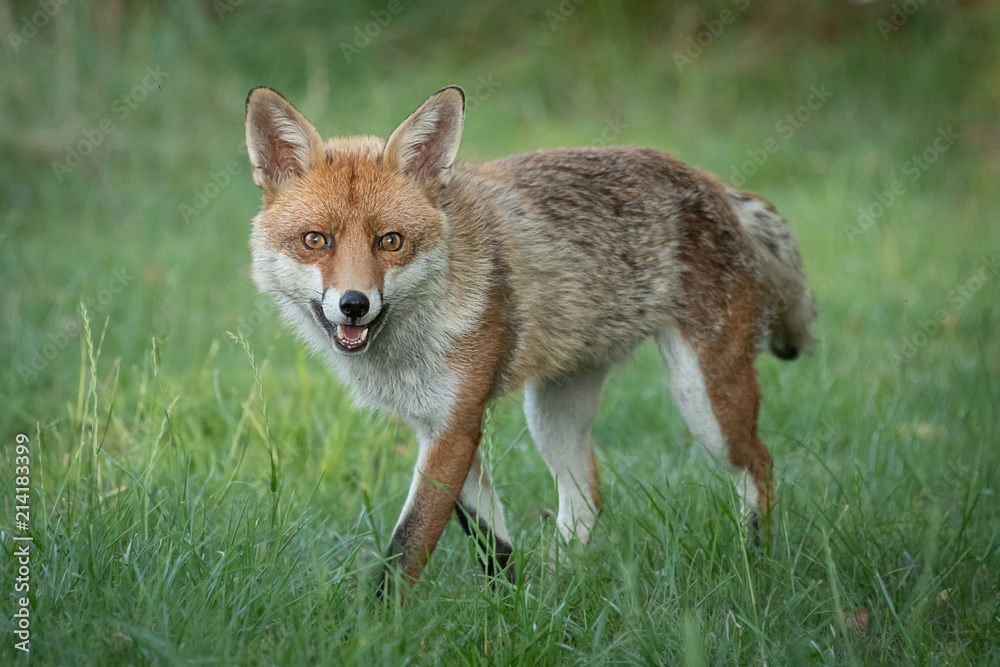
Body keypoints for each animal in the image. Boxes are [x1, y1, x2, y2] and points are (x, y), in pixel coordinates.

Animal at [246, 83, 816, 600]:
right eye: (316, 240)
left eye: (390, 242)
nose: (354, 304)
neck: (410, 343)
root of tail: (714, 182)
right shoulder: (440, 426)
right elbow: (489, 540)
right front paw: (511, 609)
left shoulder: (456, 427)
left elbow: (406, 547)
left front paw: (374, 629)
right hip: (552, 413)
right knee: (588, 494)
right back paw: (556, 584)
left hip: (703, 404)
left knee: (760, 465)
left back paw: (756, 562)